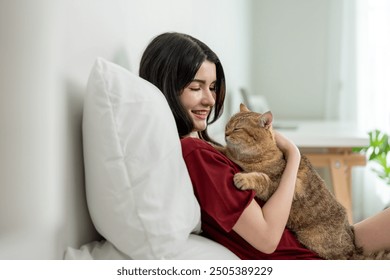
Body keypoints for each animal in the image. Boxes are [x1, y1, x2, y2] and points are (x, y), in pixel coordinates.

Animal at [216, 103, 366, 260]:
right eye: (227, 125)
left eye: (237, 128)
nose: (225, 134)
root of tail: (354, 249)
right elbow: (223, 150)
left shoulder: (275, 186)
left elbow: (262, 178)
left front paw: (243, 178)